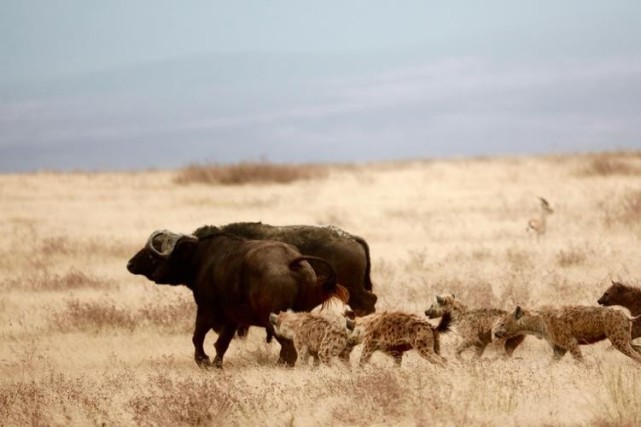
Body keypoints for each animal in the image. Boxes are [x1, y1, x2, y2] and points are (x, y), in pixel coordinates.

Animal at [125, 231, 344, 368]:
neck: (201, 258)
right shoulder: (232, 318)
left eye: (154, 253)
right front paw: (216, 365)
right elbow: (222, 343)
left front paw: (203, 361)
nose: (130, 264)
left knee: (289, 350)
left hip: (274, 321)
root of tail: (292, 261)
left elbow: (197, 337)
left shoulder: (206, 311)